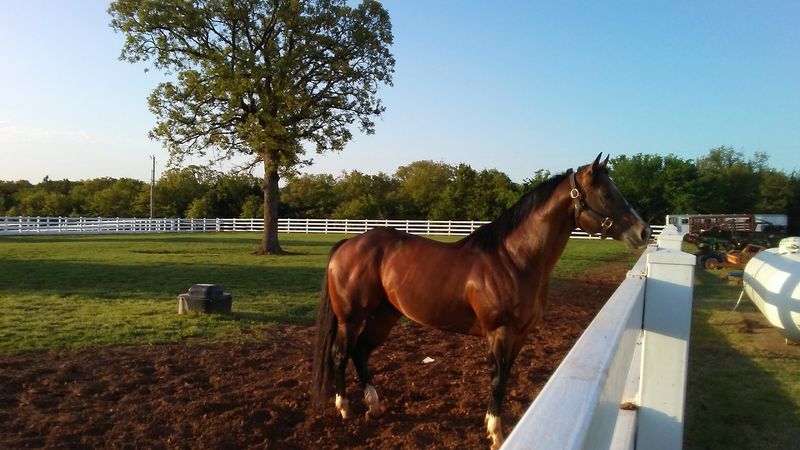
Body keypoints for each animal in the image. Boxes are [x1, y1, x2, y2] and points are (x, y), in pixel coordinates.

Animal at [310, 154, 651, 449]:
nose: (644, 231)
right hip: (351, 318)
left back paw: (373, 406)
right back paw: (344, 408)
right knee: (341, 354)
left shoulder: (519, 336)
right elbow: (497, 380)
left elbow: (504, 378)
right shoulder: (499, 332)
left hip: (385, 316)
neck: (513, 259)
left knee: (361, 352)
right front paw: (496, 434)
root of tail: (348, 243)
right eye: (606, 193)